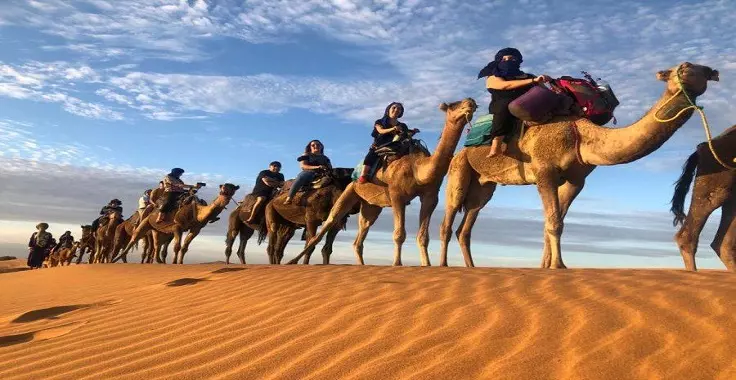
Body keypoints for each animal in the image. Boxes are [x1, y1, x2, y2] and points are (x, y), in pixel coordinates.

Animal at [284, 97, 480, 264]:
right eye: (454, 104)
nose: (470, 102)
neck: (418, 168)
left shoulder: (430, 196)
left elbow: (423, 236)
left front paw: (427, 265)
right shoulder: (396, 194)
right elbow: (399, 234)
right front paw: (397, 264)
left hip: (371, 206)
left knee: (360, 235)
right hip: (350, 191)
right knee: (329, 223)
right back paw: (292, 261)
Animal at [436, 61, 720, 268]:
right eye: (685, 67)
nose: (712, 71)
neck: (579, 133)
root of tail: (463, 150)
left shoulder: (575, 180)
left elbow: (554, 222)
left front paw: (548, 266)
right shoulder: (544, 170)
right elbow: (553, 222)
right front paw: (559, 266)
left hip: (485, 187)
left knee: (467, 224)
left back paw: (471, 267)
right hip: (459, 170)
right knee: (448, 218)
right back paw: (443, 265)